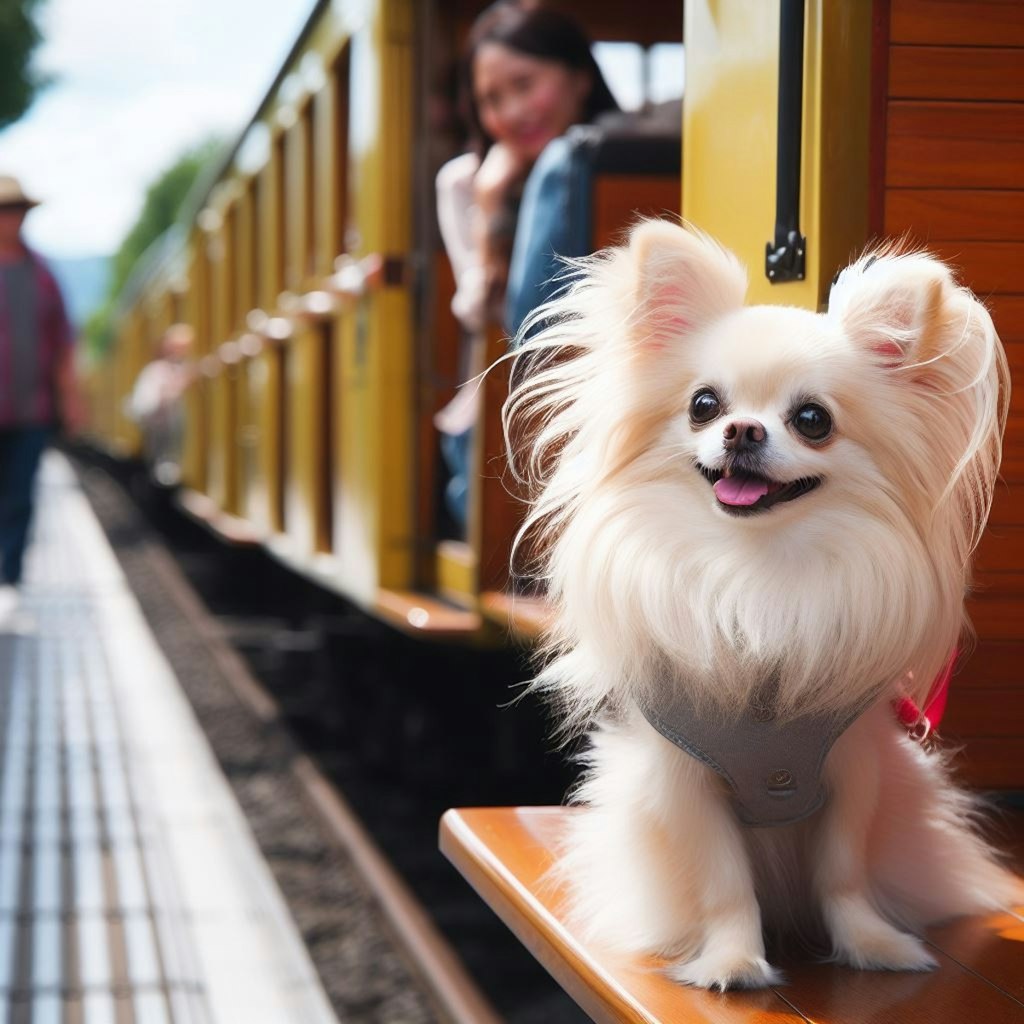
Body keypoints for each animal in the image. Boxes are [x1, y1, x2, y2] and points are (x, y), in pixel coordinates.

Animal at [505, 220, 1024, 987]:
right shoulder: (687, 784)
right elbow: (723, 881)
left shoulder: (853, 773)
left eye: (812, 419)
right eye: (704, 405)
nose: (743, 431)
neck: (758, 575)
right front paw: (732, 960)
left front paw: (871, 945)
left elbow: (845, 873)